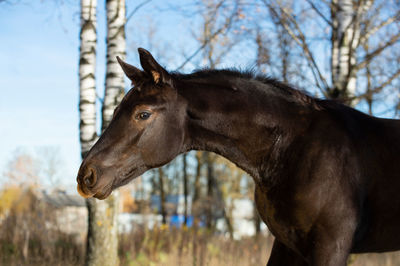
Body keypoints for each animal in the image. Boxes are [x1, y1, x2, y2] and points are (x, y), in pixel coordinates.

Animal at [76, 48, 400, 264]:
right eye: (116, 109)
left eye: (143, 114)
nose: (86, 176)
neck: (293, 149)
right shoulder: (288, 244)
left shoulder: (330, 246)